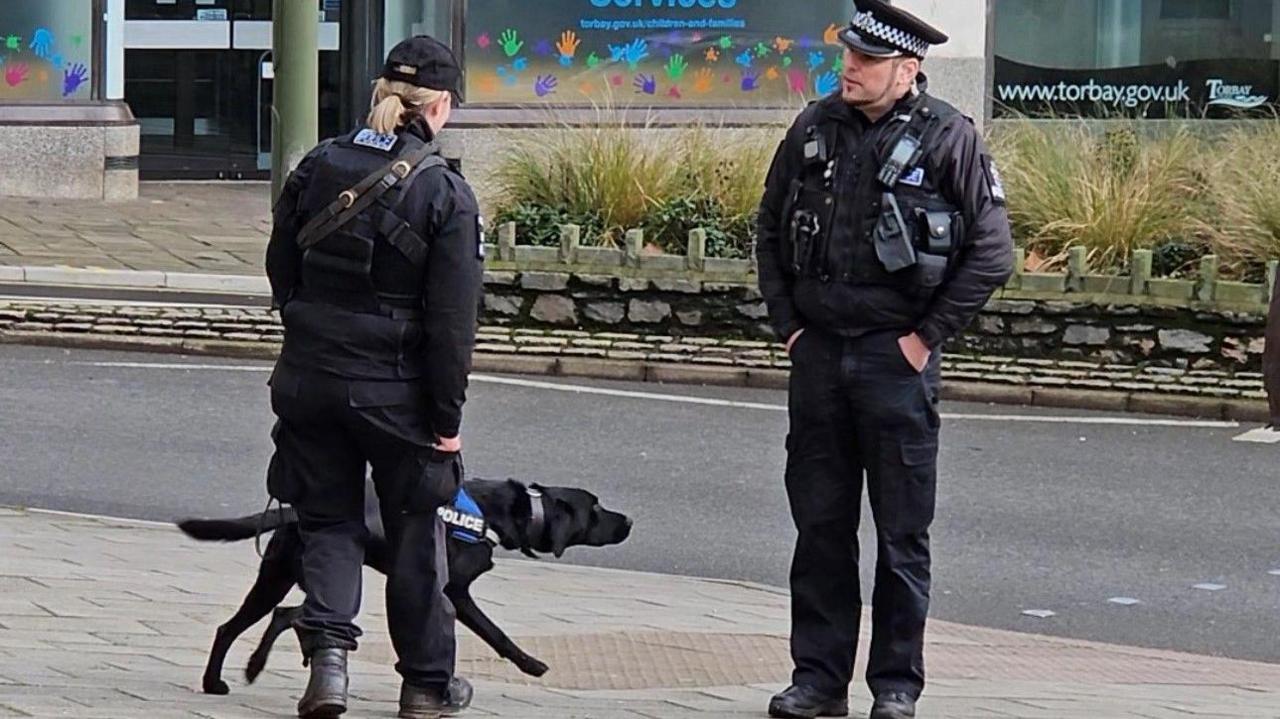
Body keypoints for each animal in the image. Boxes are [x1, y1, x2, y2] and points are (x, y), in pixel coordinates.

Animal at [177, 475, 632, 695]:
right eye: (596, 509)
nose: (628, 520)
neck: (510, 512)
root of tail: (293, 511)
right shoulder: (455, 592)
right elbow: (494, 633)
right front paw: (530, 664)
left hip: (278, 577)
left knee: (246, 623)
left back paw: (221, 680)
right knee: (285, 616)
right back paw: (253, 668)